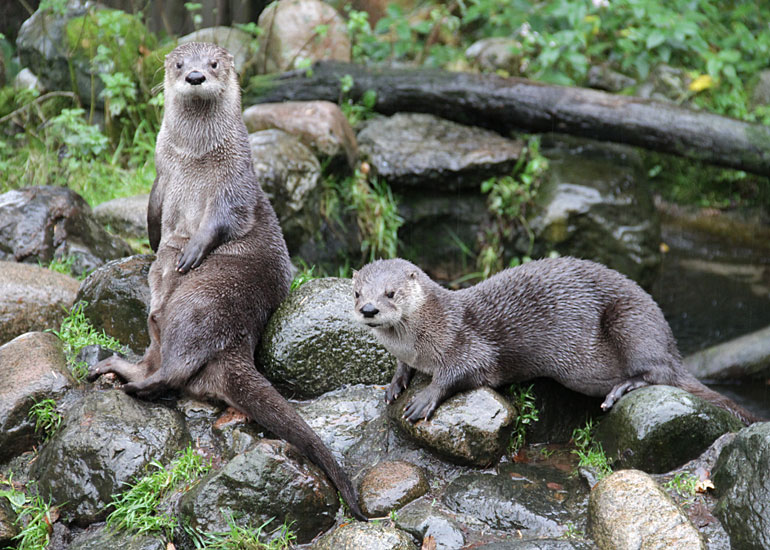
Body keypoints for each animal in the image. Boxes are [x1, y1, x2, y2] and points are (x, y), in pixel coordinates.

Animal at [89, 42, 365, 520]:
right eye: (180, 64)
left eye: (214, 64)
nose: (196, 76)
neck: (194, 157)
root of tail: (236, 342)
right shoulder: (161, 173)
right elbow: (153, 209)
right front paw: (155, 239)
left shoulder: (233, 184)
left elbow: (223, 218)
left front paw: (193, 250)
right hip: (163, 317)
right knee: (158, 357)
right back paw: (114, 367)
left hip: (199, 301)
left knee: (173, 371)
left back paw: (134, 386)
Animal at [352, 256, 761, 426]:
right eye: (357, 292)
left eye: (390, 293)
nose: (369, 309)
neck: (419, 341)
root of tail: (673, 346)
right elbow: (403, 368)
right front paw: (395, 384)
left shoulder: (467, 342)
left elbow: (459, 372)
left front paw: (424, 398)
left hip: (633, 321)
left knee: (659, 373)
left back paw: (622, 388)